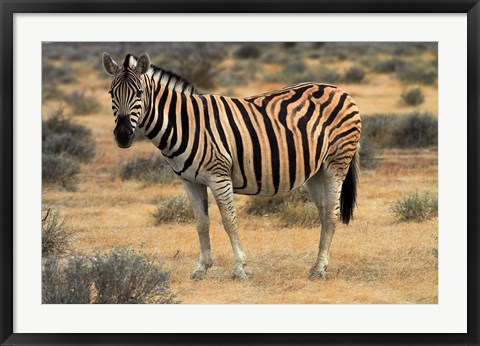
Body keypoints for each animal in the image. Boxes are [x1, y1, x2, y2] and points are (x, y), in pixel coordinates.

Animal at [103, 52, 362, 282]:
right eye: (111, 94)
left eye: (139, 93)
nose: (123, 135)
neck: (185, 123)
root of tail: (339, 89)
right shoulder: (190, 181)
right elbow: (201, 223)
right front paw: (201, 268)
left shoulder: (219, 176)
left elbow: (229, 221)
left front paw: (239, 269)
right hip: (316, 171)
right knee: (324, 213)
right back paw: (319, 265)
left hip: (336, 164)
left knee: (331, 214)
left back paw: (319, 270)